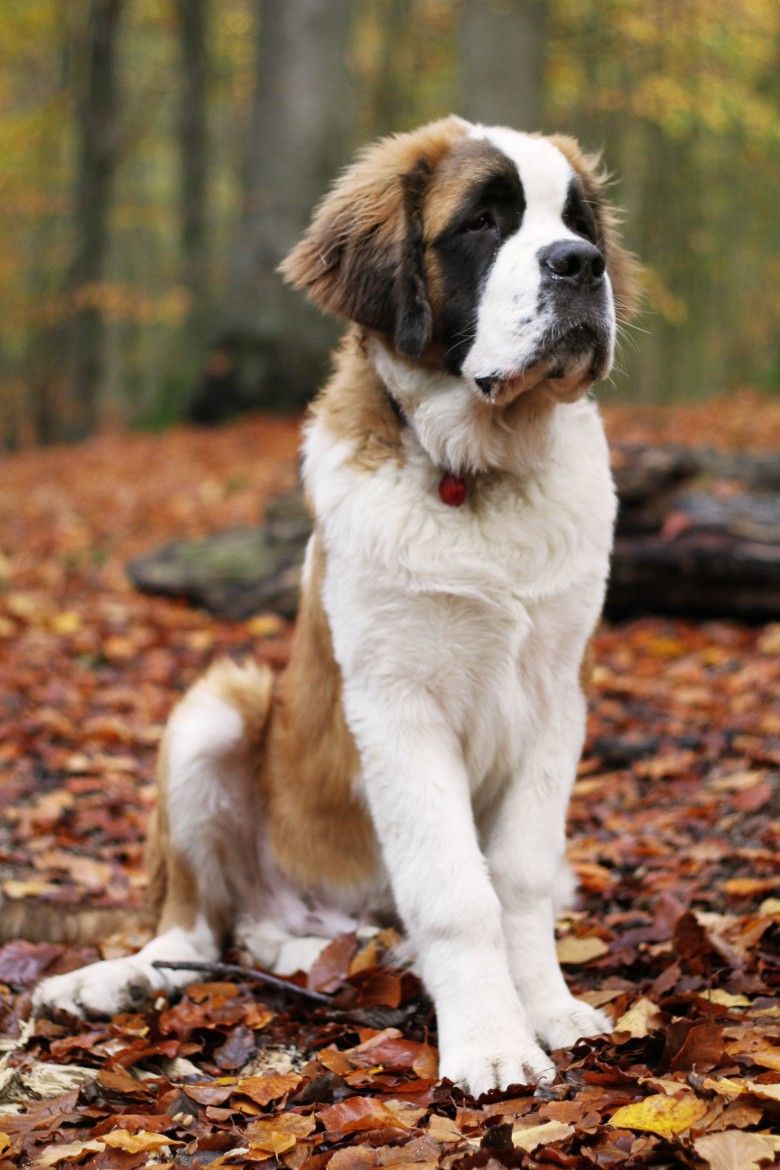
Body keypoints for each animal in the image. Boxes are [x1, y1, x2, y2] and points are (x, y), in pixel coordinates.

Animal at [33, 116, 636, 1095]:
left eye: (577, 223)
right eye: (483, 221)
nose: (580, 265)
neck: (477, 473)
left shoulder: (556, 702)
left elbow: (517, 877)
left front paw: (547, 1011)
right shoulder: (397, 707)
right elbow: (457, 890)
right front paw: (493, 1043)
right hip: (218, 708)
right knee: (191, 927)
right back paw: (112, 981)